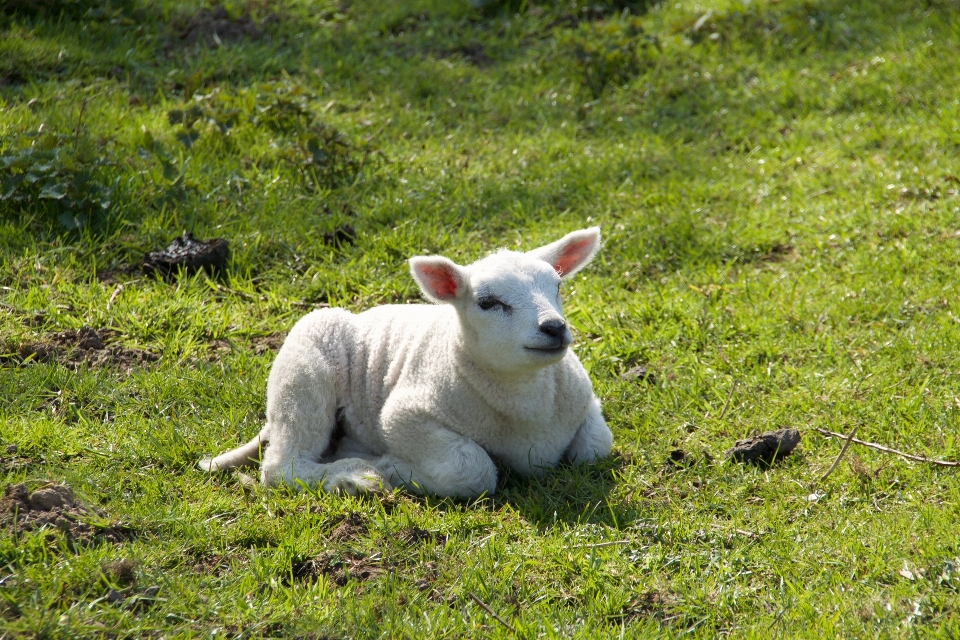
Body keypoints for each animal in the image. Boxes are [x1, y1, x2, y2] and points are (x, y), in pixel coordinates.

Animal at [199, 228, 612, 498]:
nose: (554, 328)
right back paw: (354, 477)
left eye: (557, 287)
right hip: (304, 371)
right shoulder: (405, 417)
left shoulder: (588, 403)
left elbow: (595, 448)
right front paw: (392, 469)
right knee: (282, 467)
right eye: (488, 302)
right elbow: (472, 470)